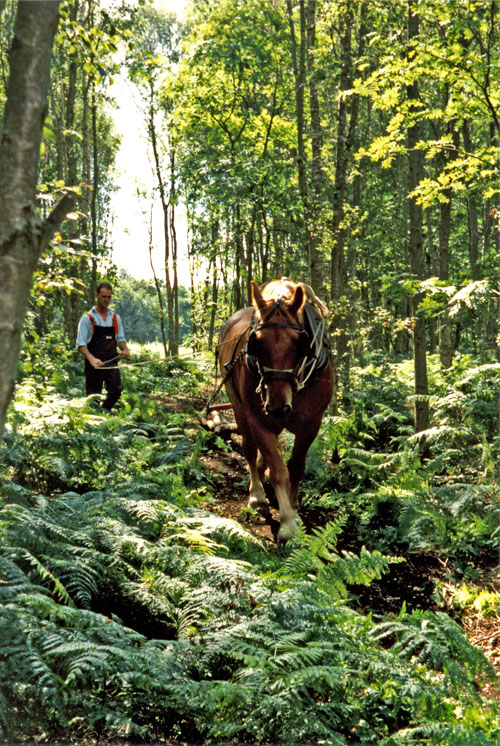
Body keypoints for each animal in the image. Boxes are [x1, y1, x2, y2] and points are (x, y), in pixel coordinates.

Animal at [216, 279, 333, 541]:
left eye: (300, 343)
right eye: (256, 342)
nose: (278, 406)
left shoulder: (312, 423)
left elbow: (296, 466)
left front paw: (294, 506)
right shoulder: (259, 418)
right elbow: (279, 469)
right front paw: (288, 522)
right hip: (239, 406)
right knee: (250, 449)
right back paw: (257, 494)